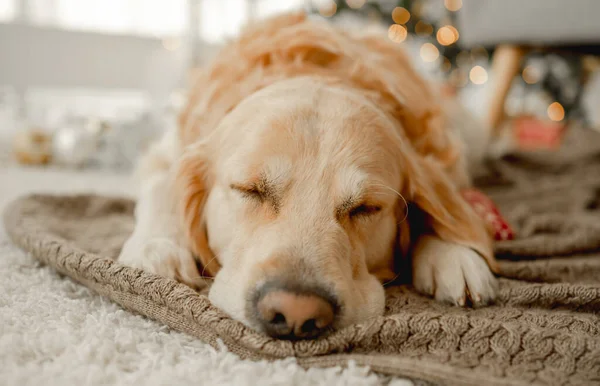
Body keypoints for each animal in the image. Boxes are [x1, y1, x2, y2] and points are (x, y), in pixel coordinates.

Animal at [119, 12, 500, 340]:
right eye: (249, 190)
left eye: (366, 208)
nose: (295, 313)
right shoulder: (165, 153)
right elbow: (162, 189)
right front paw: (157, 247)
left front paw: (452, 254)